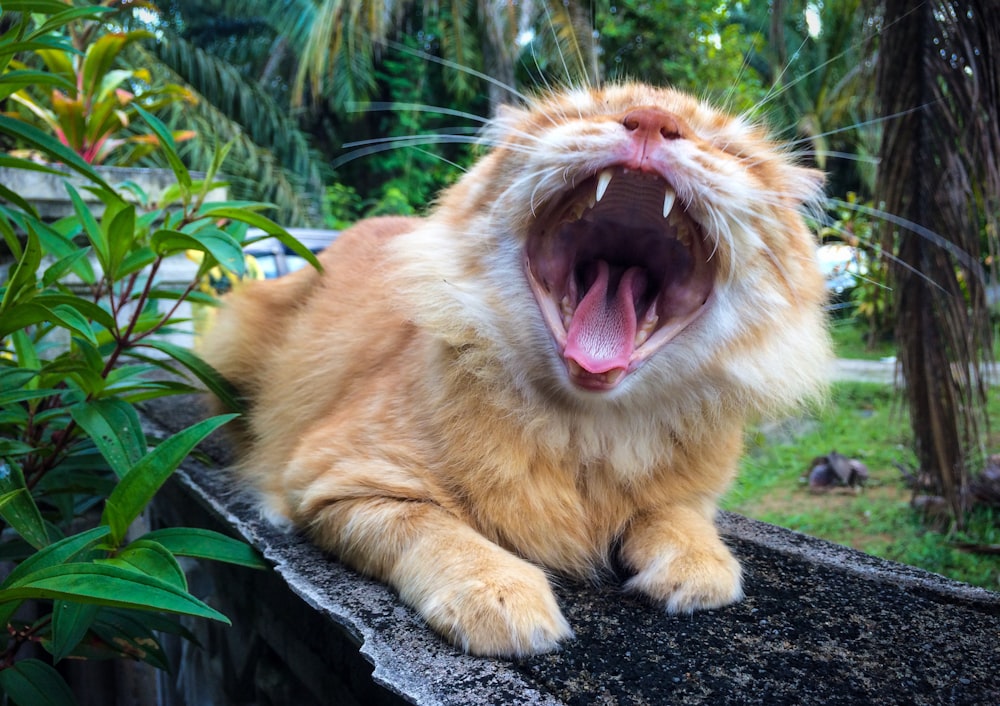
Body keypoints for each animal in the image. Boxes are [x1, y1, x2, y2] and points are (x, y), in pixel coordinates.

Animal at [199, 82, 832, 656]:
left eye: (730, 150)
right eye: (582, 112)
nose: (652, 121)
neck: (588, 430)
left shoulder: (692, 494)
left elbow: (678, 517)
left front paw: (700, 567)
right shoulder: (339, 481)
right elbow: (439, 533)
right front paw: (500, 594)